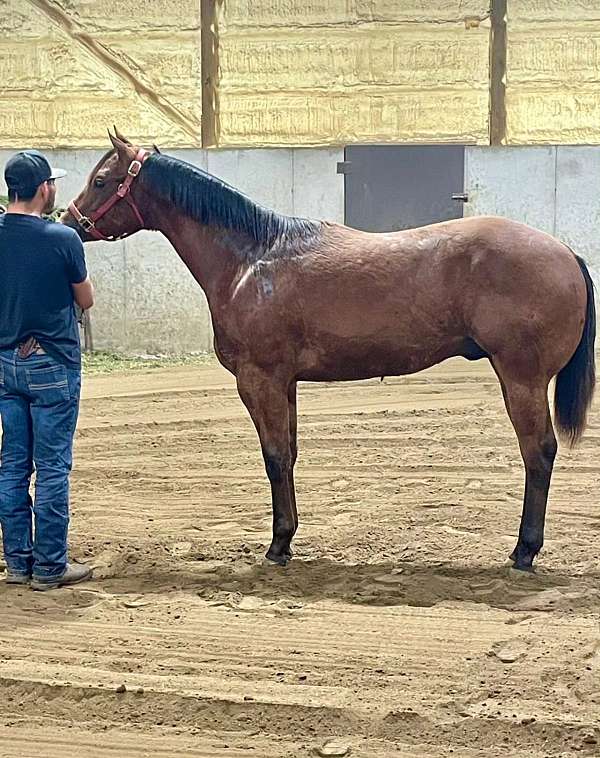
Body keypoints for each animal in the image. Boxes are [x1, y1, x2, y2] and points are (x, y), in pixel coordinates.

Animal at [62, 131, 596, 572]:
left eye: (102, 180)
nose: (68, 223)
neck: (251, 260)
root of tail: (564, 253)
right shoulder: (284, 383)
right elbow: (289, 454)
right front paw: (288, 537)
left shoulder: (259, 380)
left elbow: (274, 456)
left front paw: (277, 545)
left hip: (522, 379)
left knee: (538, 453)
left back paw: (524, 551)